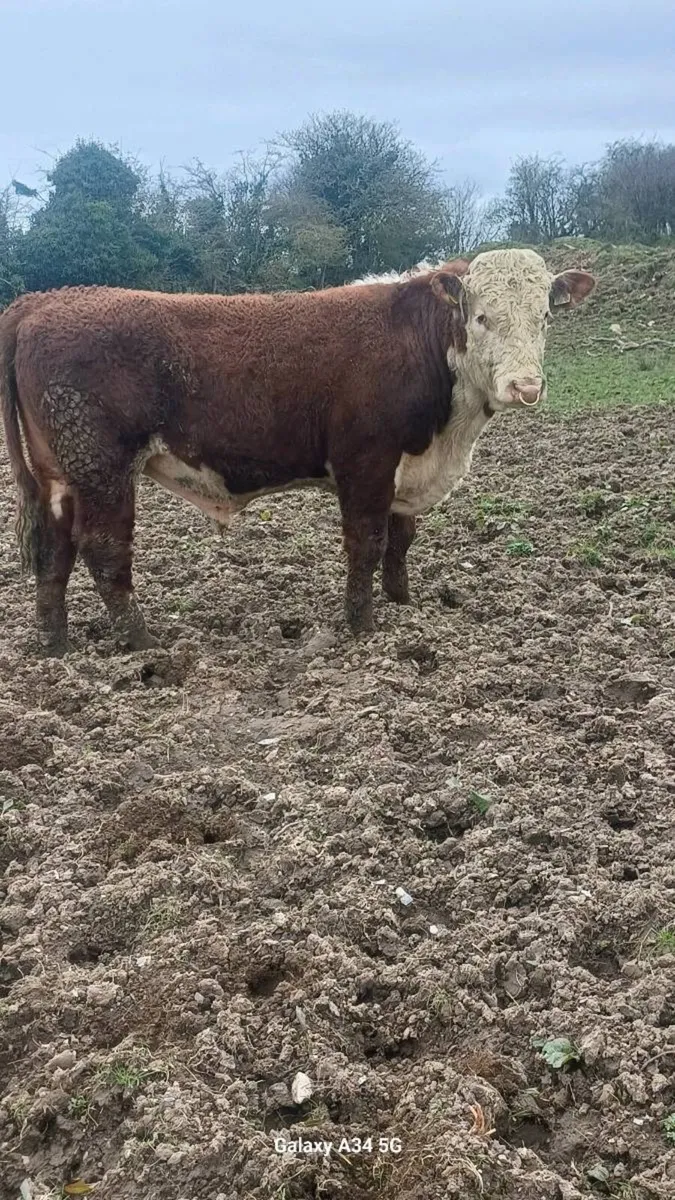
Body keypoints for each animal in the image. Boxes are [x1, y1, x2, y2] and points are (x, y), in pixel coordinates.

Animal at [0, 249, 595, 656]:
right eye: (481, 317)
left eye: (545, 317)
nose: (525, 387)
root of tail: (45, 300)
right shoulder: (365, 463)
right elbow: (368, 544)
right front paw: (363, 626)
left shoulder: (404, 470)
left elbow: (402, 540)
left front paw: (403, 604)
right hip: (102, 469)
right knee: (104, 551)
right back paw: (143, 643)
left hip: (62, 476)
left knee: (54, 551)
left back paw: (56, 645)